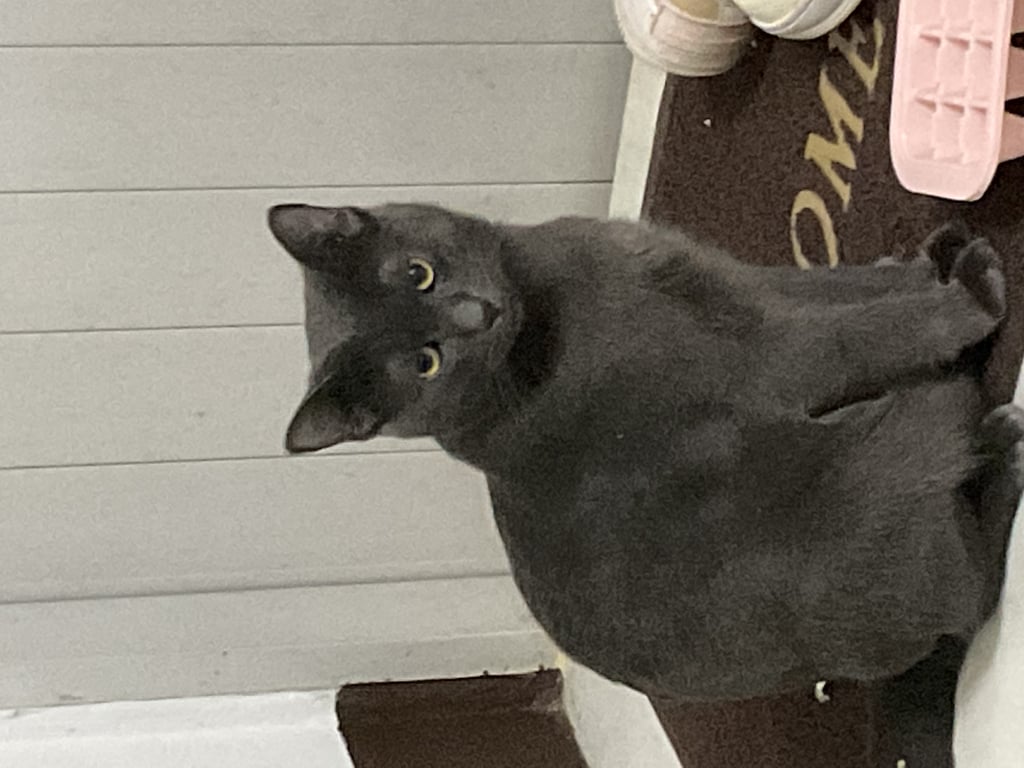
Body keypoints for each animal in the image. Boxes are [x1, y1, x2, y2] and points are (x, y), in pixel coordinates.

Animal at [267, 202, 1023, 701]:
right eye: (425, 363)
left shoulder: (746, 289)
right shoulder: (775, 358)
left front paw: (926, 260)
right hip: (892, 458)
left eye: (419, 273)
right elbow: (870, 331)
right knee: (974, 585)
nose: (476, 315)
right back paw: (1005, 441)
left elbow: (843, 288)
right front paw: (974, 296)